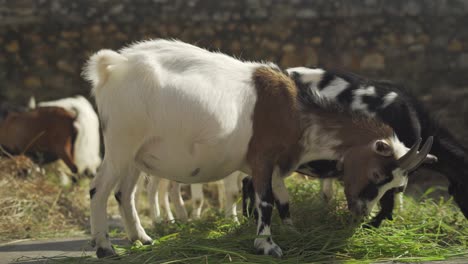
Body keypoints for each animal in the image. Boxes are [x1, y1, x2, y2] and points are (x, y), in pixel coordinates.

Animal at [83, 39, 436, 258]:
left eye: (398, 185)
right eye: (377, 174)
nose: (362, 214)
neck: (297, 112)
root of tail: (112, 65)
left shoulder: (277, 164)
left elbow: (284, 199)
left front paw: (292, 231)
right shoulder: (262, 159)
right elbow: (265, 201)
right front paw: (267, 245)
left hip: (135, 154)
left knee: (124, 193)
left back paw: (141, 238)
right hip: (120, 143)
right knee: (99, 190)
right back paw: (104, 248)